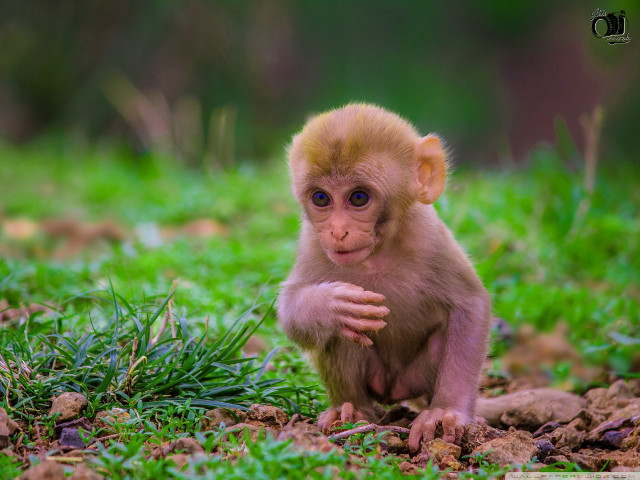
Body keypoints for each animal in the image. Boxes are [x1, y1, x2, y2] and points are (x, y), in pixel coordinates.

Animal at [276, 103, 492, 452]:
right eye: (321, 198)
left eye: (358, 198)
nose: (337, 232)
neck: (377, 253)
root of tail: (394, 390)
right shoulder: (313, 242)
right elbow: (291, 311)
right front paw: (330, 306)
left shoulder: (428, 234)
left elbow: (471, 305)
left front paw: (446, 411)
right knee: (342, 333)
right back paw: (352, 410)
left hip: (415, 377)